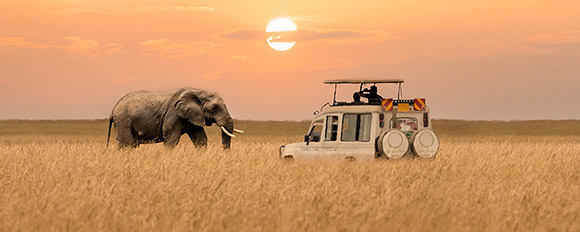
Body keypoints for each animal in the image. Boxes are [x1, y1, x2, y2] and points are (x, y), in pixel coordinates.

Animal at [106, 86, 242, 149]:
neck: (196, 91)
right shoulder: (173, 114)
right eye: (214, 108)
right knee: (126, 144)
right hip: (124, 120)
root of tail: (113, 109)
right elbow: (171, 138)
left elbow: (201, 139)